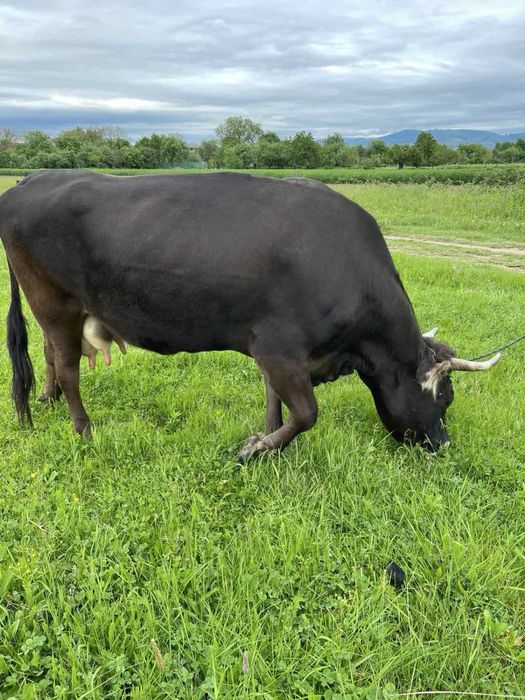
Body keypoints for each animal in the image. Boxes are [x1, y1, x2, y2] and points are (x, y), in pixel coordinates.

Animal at [0, 170, 500, 458]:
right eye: (445, 398)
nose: (443, 445)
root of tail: (28, 182)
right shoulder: (281, 349)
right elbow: (306, 413)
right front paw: (256, 449)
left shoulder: (274, 353)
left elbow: (274, 401)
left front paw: (267, 438)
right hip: (53, 299)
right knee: (67, 366)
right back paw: (84, 431)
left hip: (56, 309)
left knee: (49, 353)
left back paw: (48, 400)